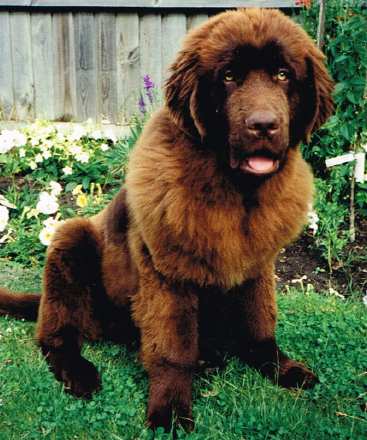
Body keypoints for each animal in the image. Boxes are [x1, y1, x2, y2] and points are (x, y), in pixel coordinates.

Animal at [0, 7, 334, 434]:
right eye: (229, 76)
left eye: (282, 74)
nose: (263, 125)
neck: (236, 192)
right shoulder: (167, 272)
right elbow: (174, 347)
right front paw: (171, 408)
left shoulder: (257, 265)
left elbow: (260, 324)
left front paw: (282, 367)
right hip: (70, 241)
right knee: (55, 335)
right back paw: (81, 373)